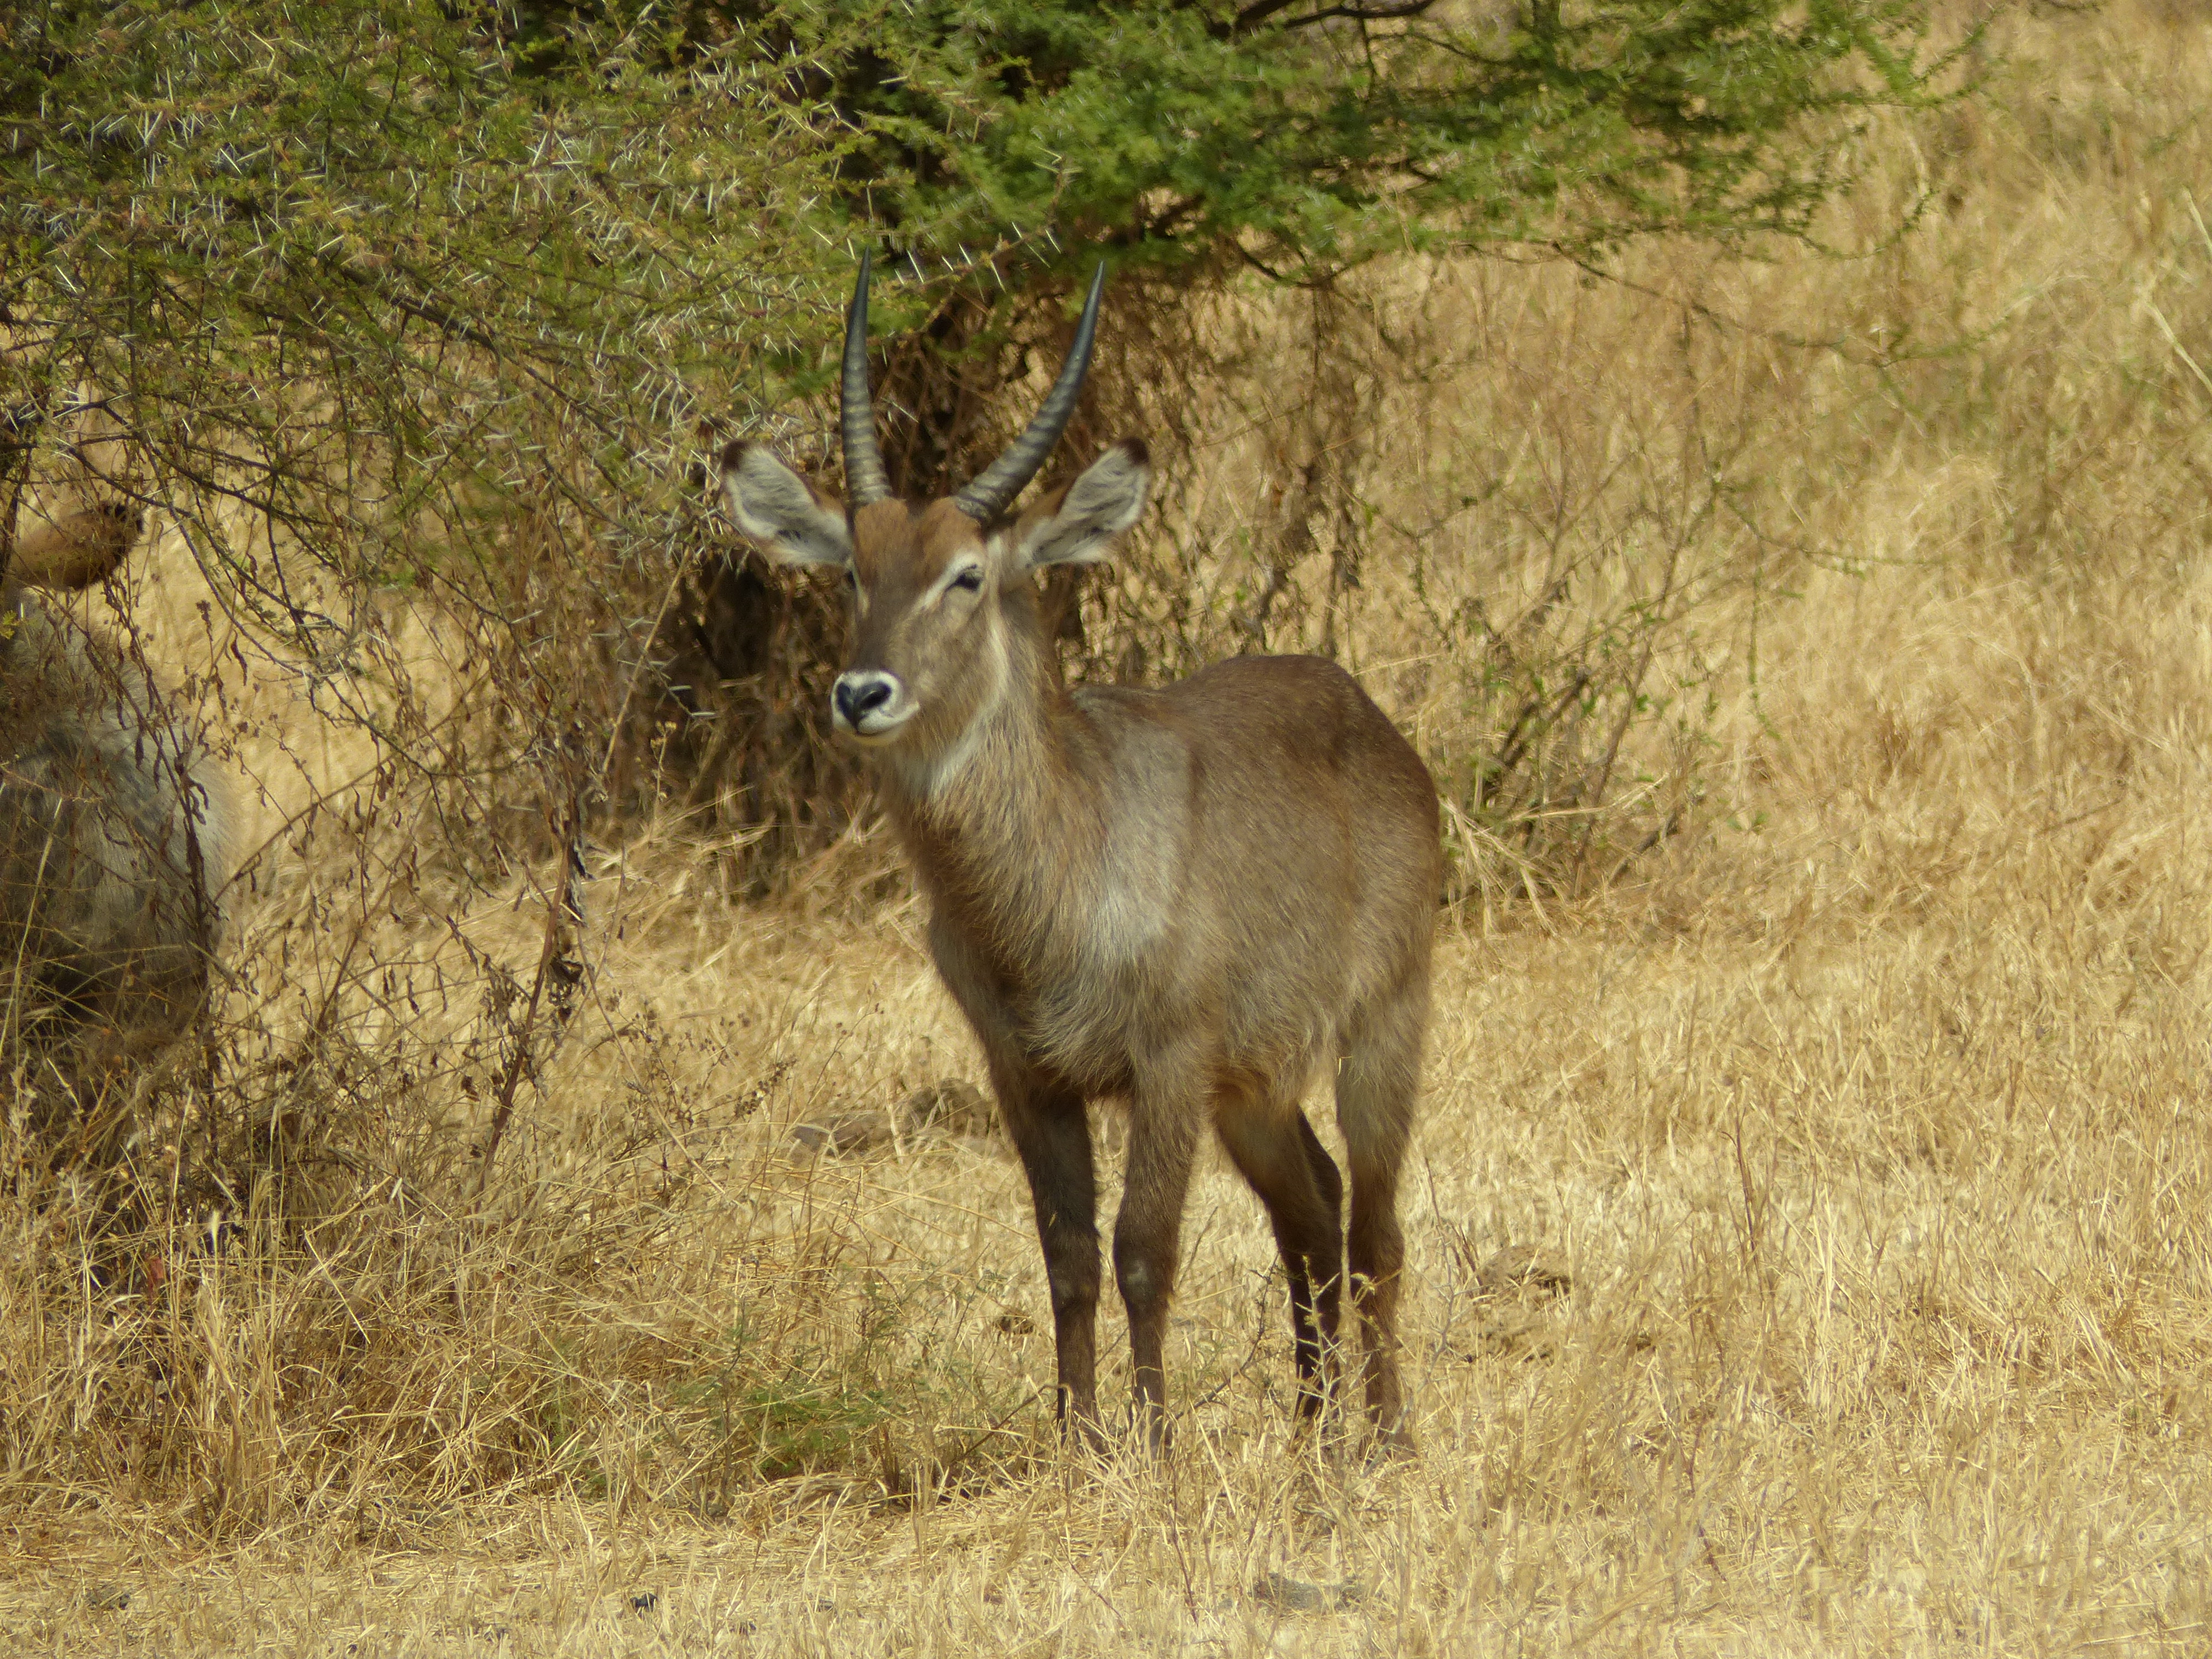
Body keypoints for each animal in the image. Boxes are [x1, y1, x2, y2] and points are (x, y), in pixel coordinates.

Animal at [719, 257, 1441, 1452]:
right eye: (854, 570)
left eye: (966, 575)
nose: (862, 693)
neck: (1052, 871)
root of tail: (1366, 714)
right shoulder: (1027, 1076)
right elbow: (1066, 1254)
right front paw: (1080, 1438)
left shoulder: (1167, 1063)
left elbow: (1144, 1250)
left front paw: (1150, 1445)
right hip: (1252, 1089)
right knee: (1315, 1208)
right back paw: (1308, 1429)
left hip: (1381, 1030)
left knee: (1376, 1228)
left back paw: (1379, 1438)